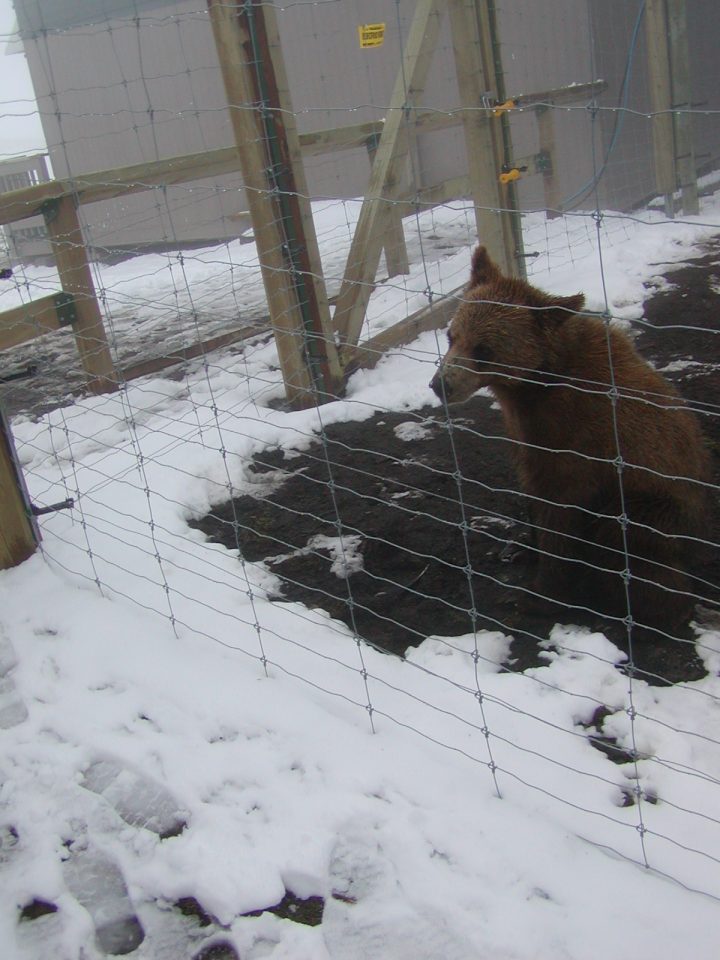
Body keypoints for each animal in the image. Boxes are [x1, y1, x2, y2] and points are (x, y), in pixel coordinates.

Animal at [428, 244, 708, 640]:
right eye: (453, 336)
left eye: (484, 350)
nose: (441, 384)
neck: (533, 387)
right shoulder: (527, 434)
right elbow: (533, 490)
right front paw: (524, 547)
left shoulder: (580, 442)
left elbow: (560, 511)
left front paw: (536, 595)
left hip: (657, 503)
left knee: (628, 542)